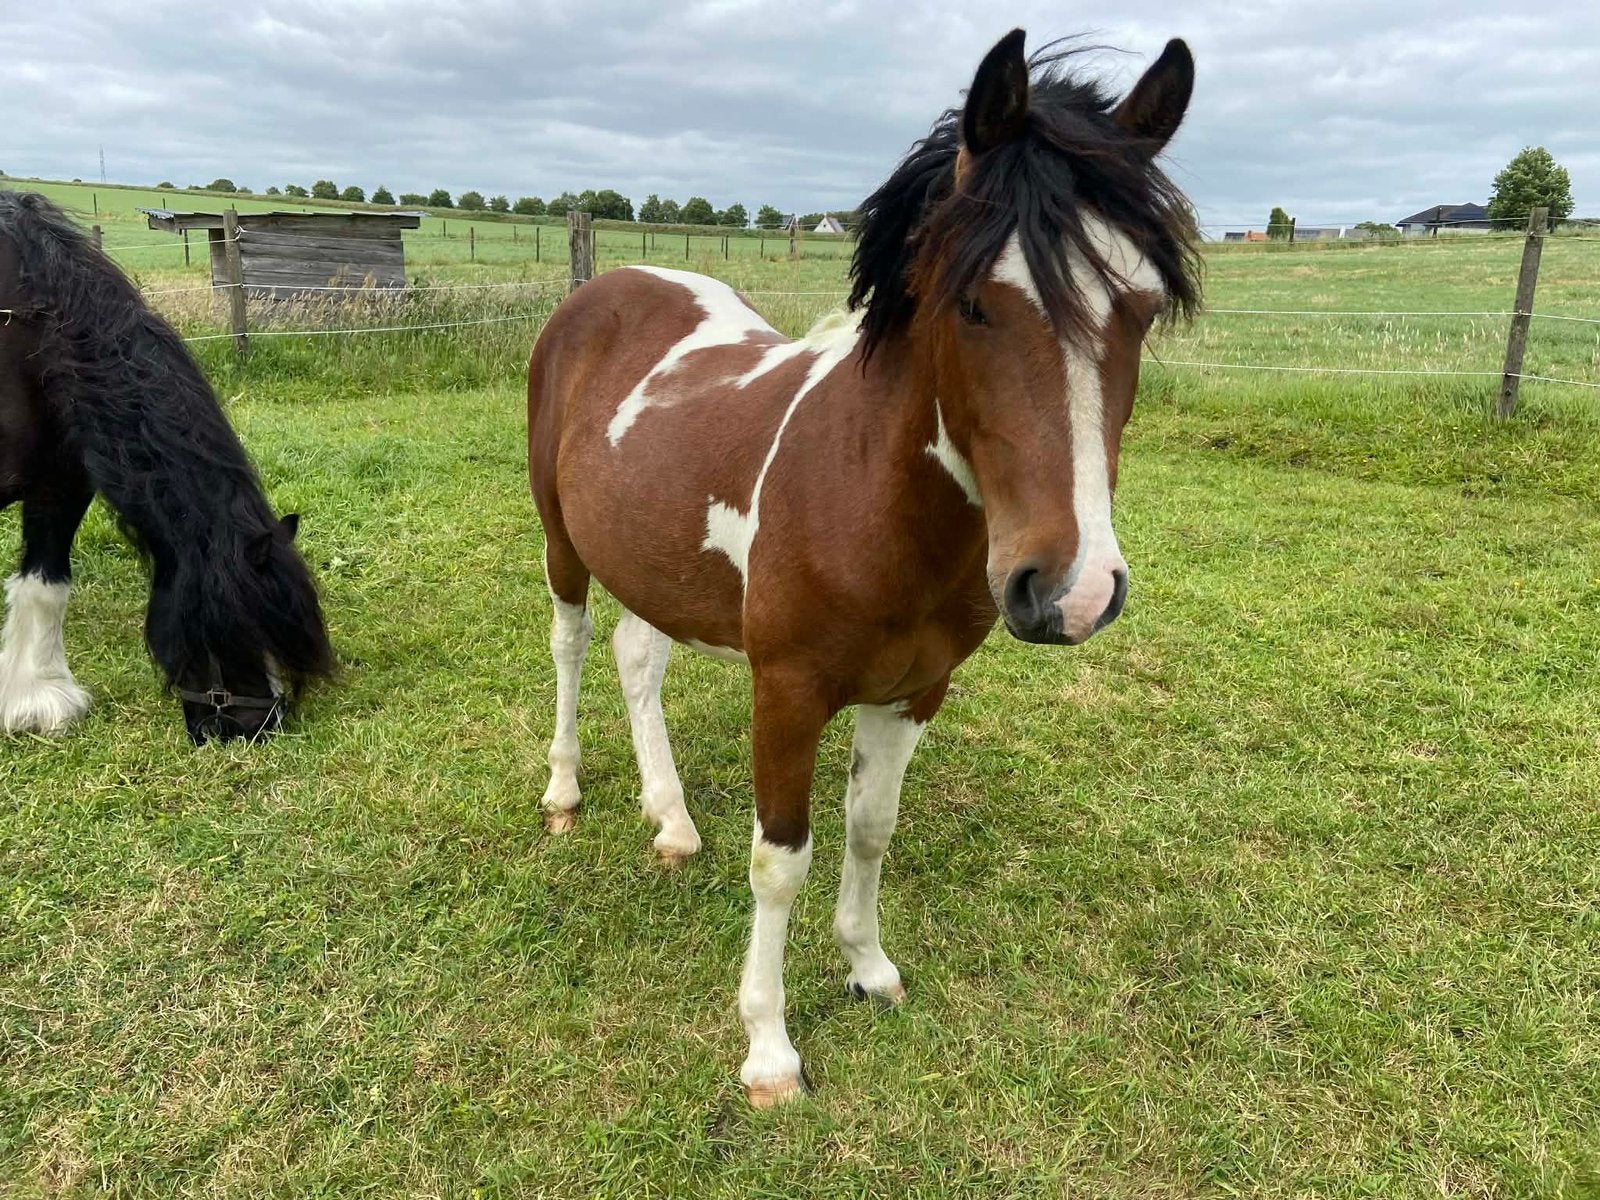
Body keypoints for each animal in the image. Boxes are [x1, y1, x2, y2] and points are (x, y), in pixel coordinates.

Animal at [526, 29, 1200, 1105]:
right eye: (972, 303)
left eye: (1139, 307)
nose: (1073, 590)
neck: (864, 501)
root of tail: (608, 285)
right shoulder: (786, 691)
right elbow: (781, 859)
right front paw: (767, 1049)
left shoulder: (913, 693)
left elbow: (869, 827)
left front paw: (867, 967)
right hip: (562, 547)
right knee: (572, 645)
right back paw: (562, 791)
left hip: (656, 562)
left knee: (637, 659)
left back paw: (670, 819)